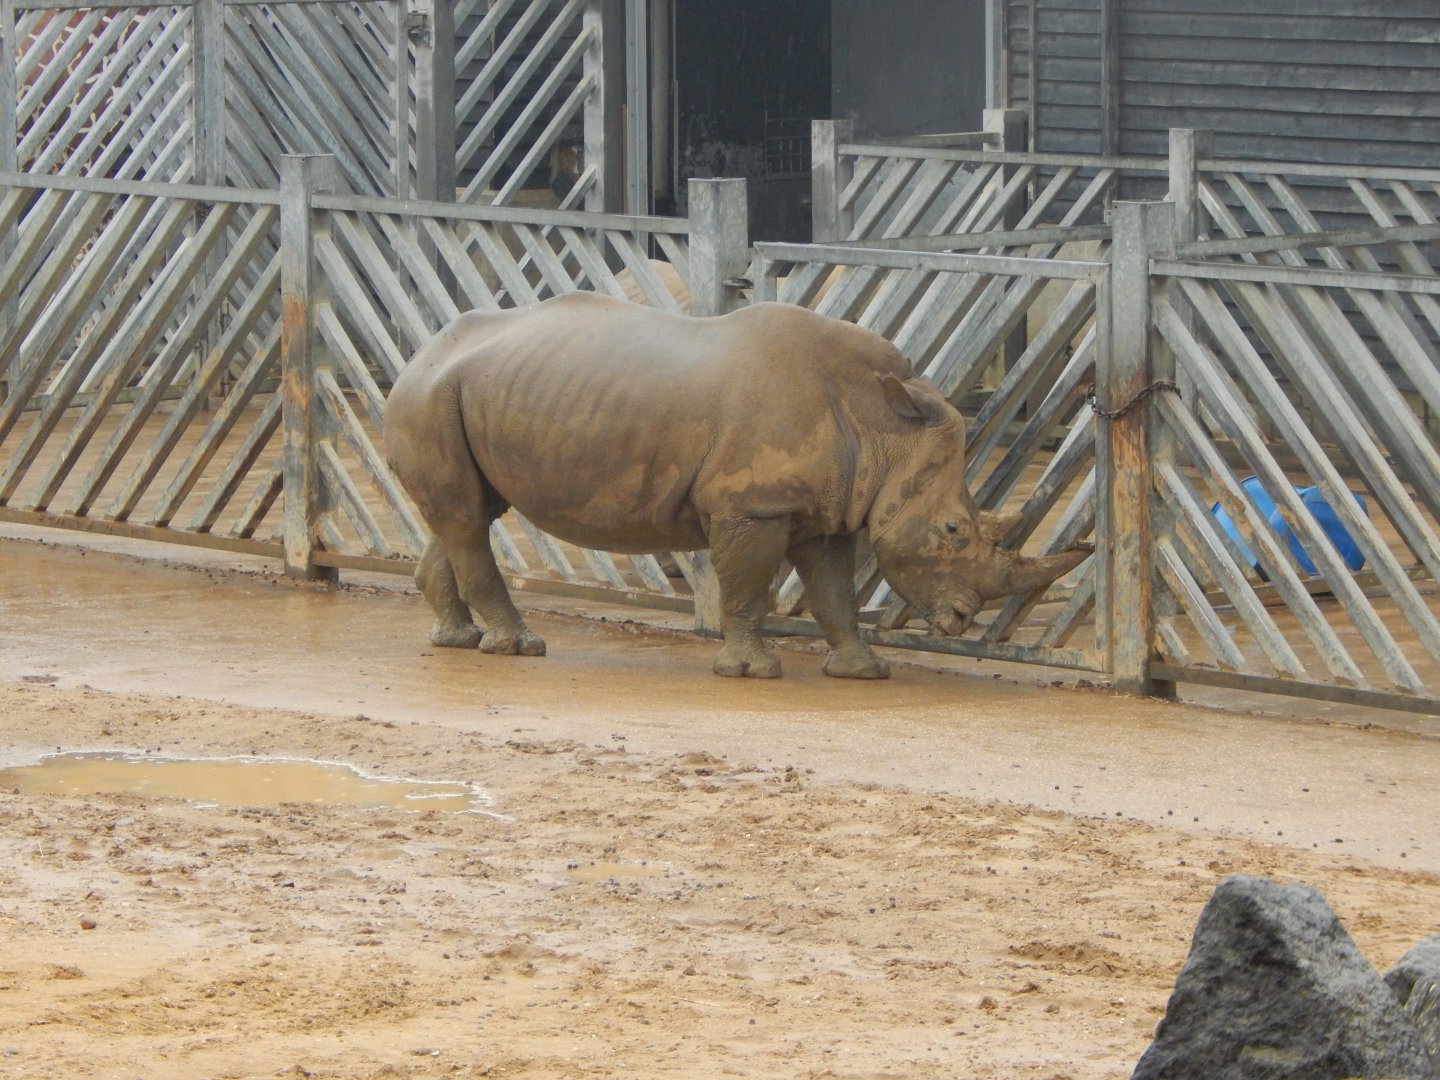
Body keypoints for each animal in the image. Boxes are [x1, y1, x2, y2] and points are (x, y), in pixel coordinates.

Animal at [383, 293, 1091, 679]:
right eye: (951, 530)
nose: (962, 619)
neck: (881, 423)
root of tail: (418, 354)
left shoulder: (826, 507)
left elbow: (833, 591)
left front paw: (864, 672)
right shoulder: (752, 505)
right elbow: (748, 585)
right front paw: (754, 672)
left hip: (469, 392)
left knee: (467, 514)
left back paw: (457, 641)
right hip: (430, 397)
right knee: (467, 518)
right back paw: (520, 649)